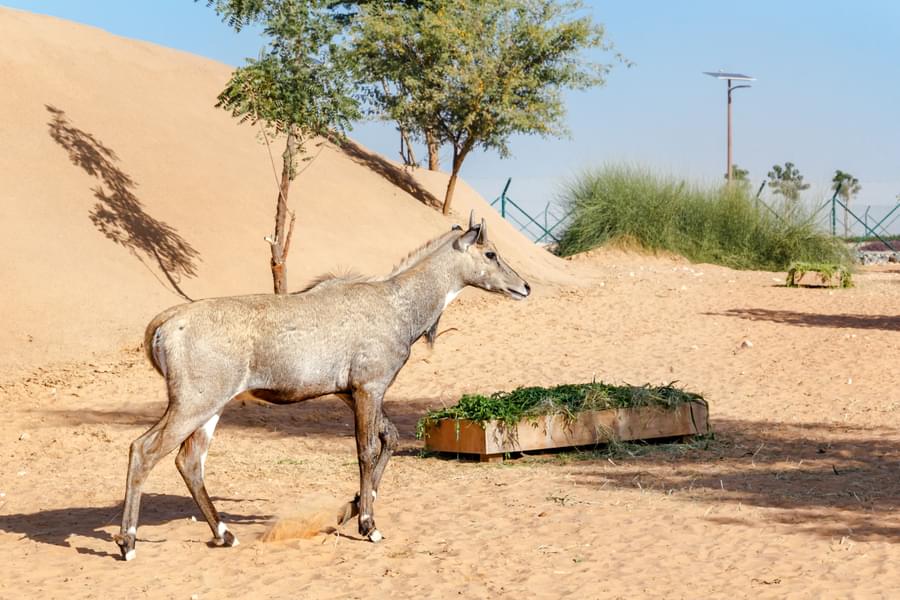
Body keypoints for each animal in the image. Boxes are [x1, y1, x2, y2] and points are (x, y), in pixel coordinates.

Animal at [116, 217, 532, 564]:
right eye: (491, 253)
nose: (525, 286)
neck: (398, 304)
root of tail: (166, 321)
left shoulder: (349, 391)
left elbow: (391, 438)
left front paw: (352, 508)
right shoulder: (370, 386)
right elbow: (367, 449)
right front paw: (368, 525)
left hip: (211, 407)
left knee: (189, 461)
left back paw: (225, 534)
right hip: (194, 402)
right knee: (145, 449)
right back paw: (128, 541)